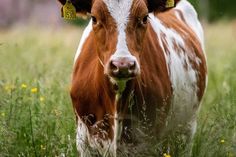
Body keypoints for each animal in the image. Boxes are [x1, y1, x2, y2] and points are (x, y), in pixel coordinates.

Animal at [57, 0, 206, 156]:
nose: (123, 64)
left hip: (187, 128)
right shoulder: (84, 141)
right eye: (94, 18)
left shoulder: (149, 142)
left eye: (145, 18)